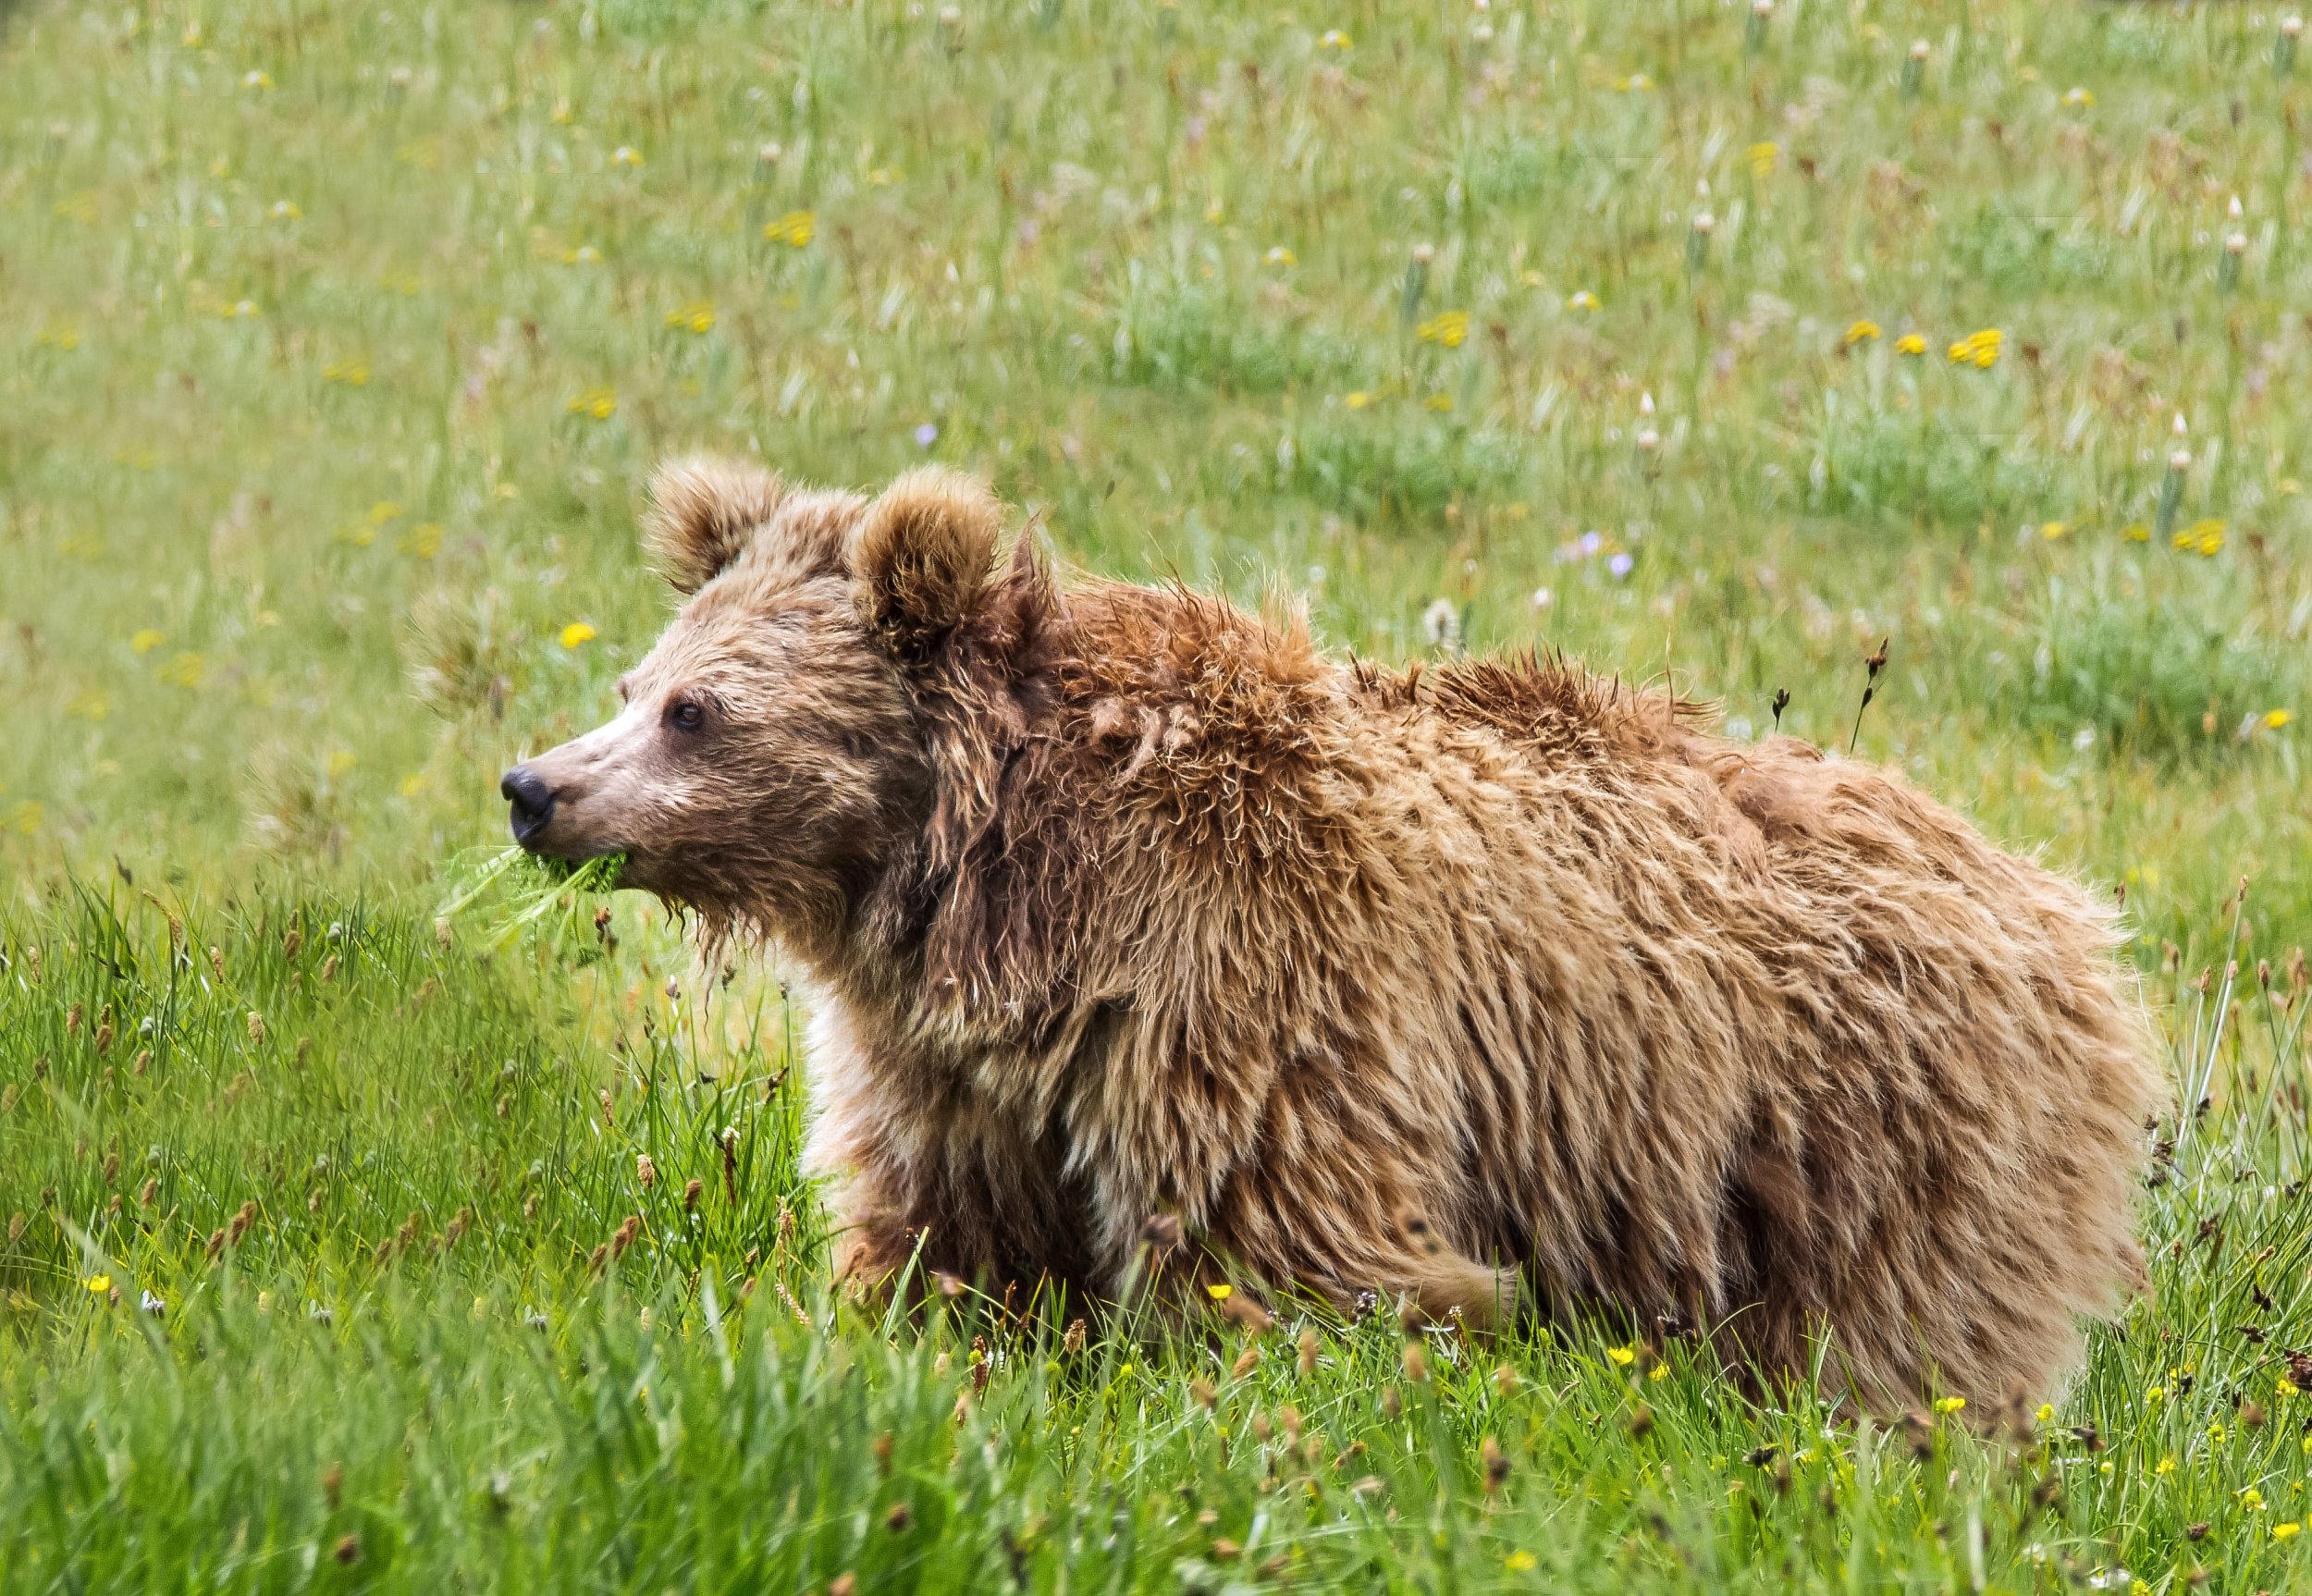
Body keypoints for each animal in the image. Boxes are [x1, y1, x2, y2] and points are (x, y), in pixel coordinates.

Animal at [506, 453, 2164, 1396]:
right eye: (635, 679)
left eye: (697, 709)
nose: (535, 789)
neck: (996, 885)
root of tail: (2059, 900)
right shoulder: (949, 1060)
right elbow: (948, 1235)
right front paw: (917, 1341)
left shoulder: (1241, 975)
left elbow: (1290, 1242)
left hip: (1877, 1124)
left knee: (1902, 1342)